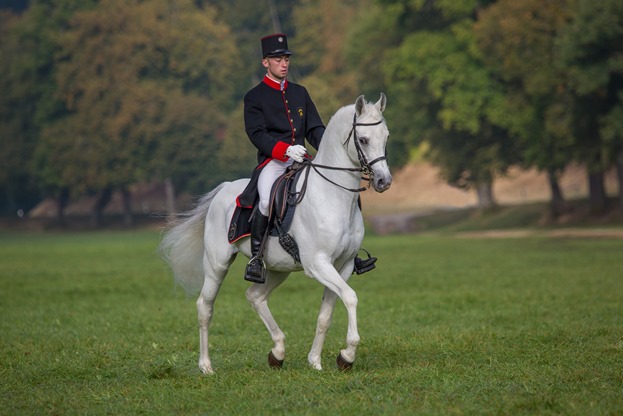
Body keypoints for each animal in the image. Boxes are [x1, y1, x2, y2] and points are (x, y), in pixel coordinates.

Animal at [160, 94, 390, 374]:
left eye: (386, 137)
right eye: (364, 139)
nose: (384, 181)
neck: (332, 196)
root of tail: (224, 189)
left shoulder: (342, 265)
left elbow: (327, 313)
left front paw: (317, 361)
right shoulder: (318, 264)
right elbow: (350, 297)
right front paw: (347, 354)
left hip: (279, 268)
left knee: (255, 296)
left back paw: (277, 352)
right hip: (217, 264)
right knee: (205, 306)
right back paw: (206, 366)